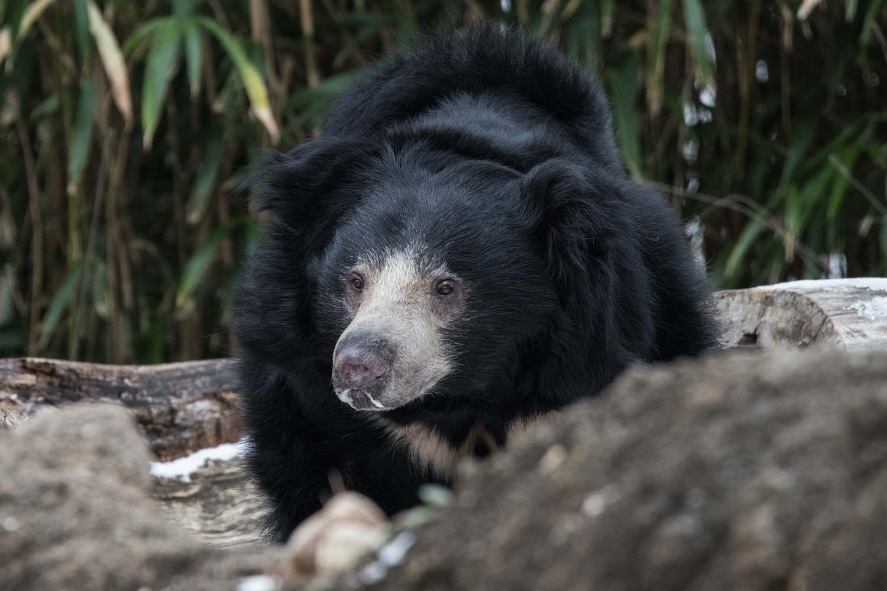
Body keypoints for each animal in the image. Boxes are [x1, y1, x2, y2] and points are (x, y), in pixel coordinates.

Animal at [238, 24, 720, 540]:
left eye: (446, 288)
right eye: (354, 281)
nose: (358, 368)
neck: (463, 394)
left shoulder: (588, 351)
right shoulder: (305, 390)